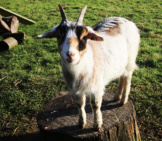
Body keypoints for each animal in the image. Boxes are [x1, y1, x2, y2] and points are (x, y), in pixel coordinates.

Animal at [37, 4, 140, 132]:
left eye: (84, 36)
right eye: (59, 35)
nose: (70, 54)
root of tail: (125, 19)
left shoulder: (97, 87)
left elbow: (95, 105)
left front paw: (97, 125)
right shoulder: (75, 89)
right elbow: (80, 104)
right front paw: (81, 123)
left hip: (130, 62)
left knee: (128, 78)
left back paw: (123, 100)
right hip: (120, 63)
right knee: (122, 77)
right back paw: (117, 97)